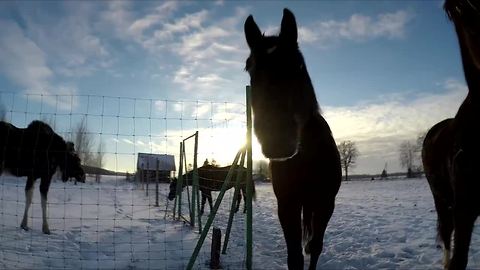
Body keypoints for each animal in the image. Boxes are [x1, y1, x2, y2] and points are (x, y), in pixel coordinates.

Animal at [244, 8, 342, 270]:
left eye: (297, 63)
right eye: (249, 68)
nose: (276, 138)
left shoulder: (325, 203)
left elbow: (315, 248)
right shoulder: (287, 203)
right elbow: (295, 257)